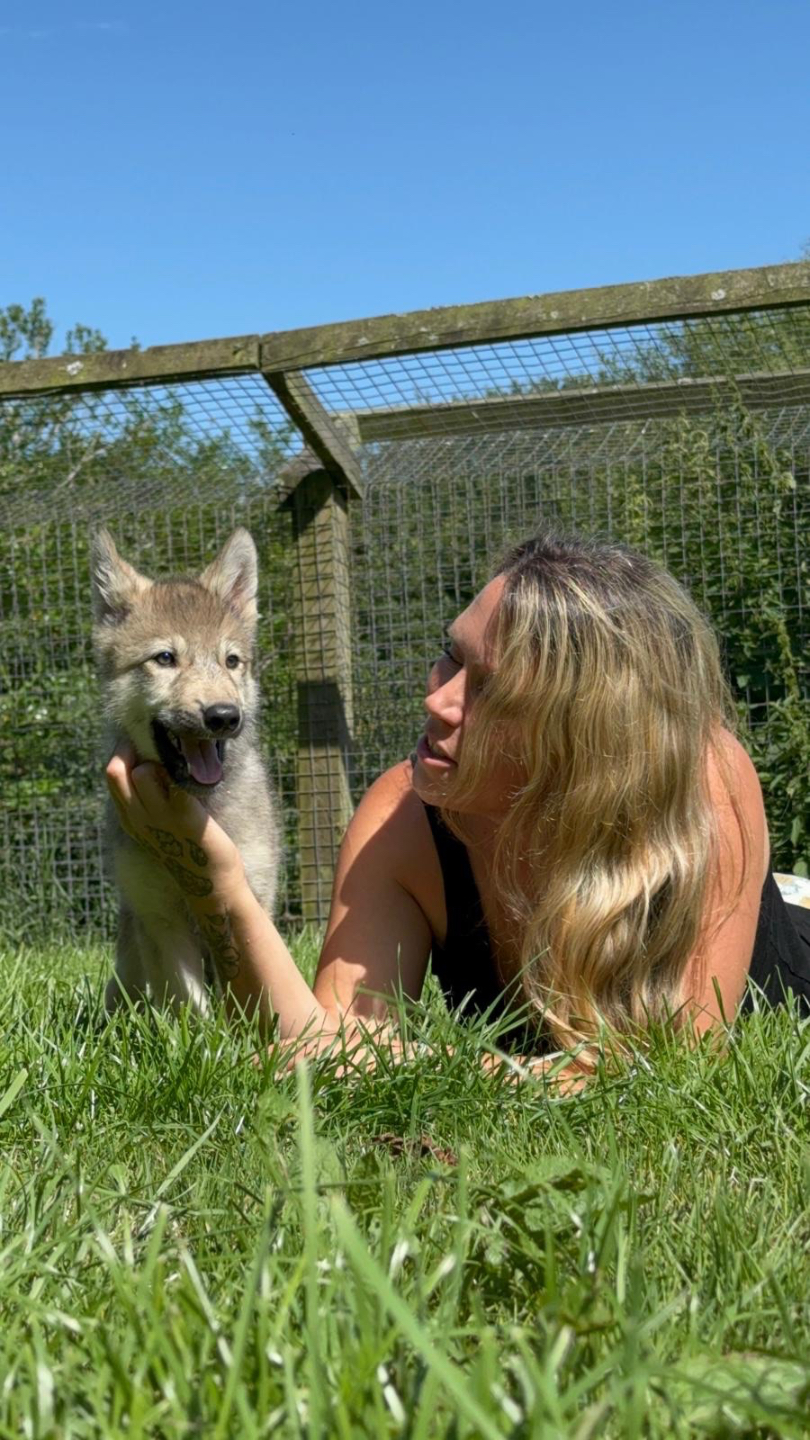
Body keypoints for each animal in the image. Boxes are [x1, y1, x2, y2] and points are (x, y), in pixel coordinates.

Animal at [91, 527, 280, 1015]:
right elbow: (189, 1004)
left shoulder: (254, 900)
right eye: (164, 658)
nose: (224, 716)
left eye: (232, 661)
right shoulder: (158, 916)